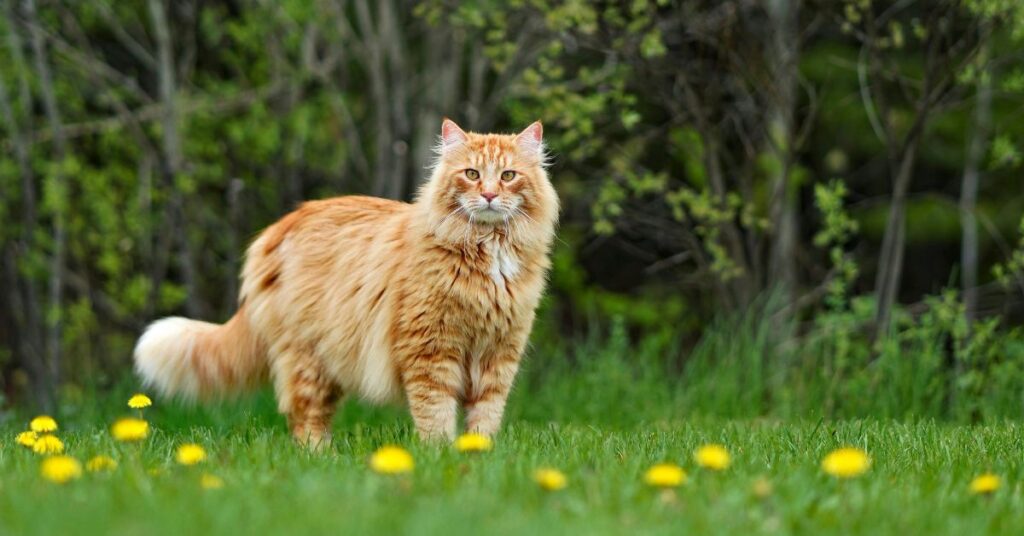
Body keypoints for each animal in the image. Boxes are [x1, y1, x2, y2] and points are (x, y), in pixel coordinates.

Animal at [135, 120, 561, 444]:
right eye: (471, 174)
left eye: (508, 176)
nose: (488, 195)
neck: (488, 252)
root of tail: (279, 227)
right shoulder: (431, 351)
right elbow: (435, 415)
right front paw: (439, 455)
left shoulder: (499, 355)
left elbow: (485, 417)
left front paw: (477, 454)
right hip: (308, 358)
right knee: (304, 419)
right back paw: (318, 459)